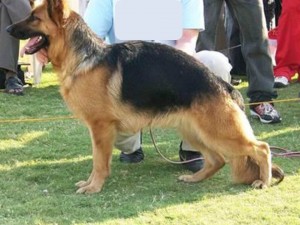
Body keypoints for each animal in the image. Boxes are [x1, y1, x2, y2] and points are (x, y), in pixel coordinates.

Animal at [7, 0, 284, 193]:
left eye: (34, 17)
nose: (8, 28)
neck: (84, 56)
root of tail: (224, 86)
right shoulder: (99, 130)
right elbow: (97, 161)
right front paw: (90, 183)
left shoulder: (100, 128)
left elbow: (98, 162)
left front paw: (94, 187)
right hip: (196, 131)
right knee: (217, 160)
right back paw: (194, 178)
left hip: (219, 132)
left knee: (261, 148)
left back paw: (264, 180)